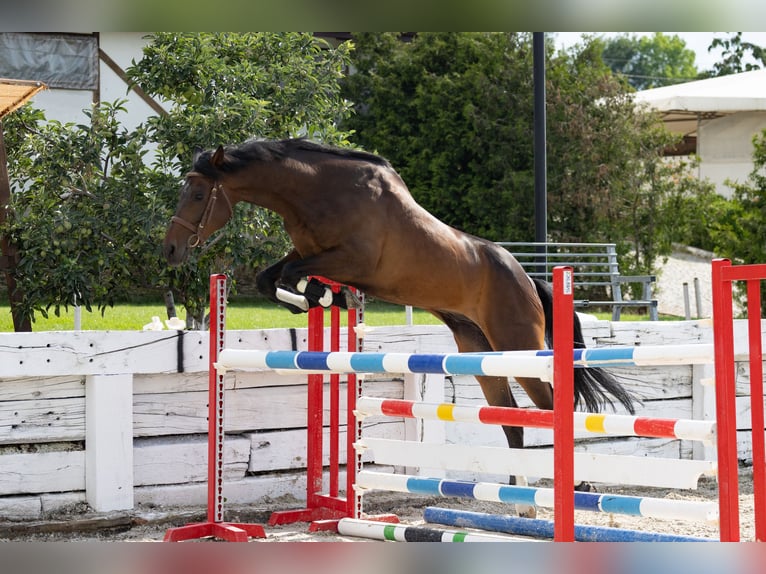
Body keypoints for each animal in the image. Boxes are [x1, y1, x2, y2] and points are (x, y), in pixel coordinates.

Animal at [165, 141, 640, 516]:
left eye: (197, 193)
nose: (169, 250)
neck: (317, 192)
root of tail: (526, 276)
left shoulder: (352, 260)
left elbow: (292, 276)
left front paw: (327, 297)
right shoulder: (307, 254)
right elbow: (272, 278)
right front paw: (322, 298)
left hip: (518, 345)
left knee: (550, 406)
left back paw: (576, 486)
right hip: (479, 349)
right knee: (511, 419)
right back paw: (521, 498)